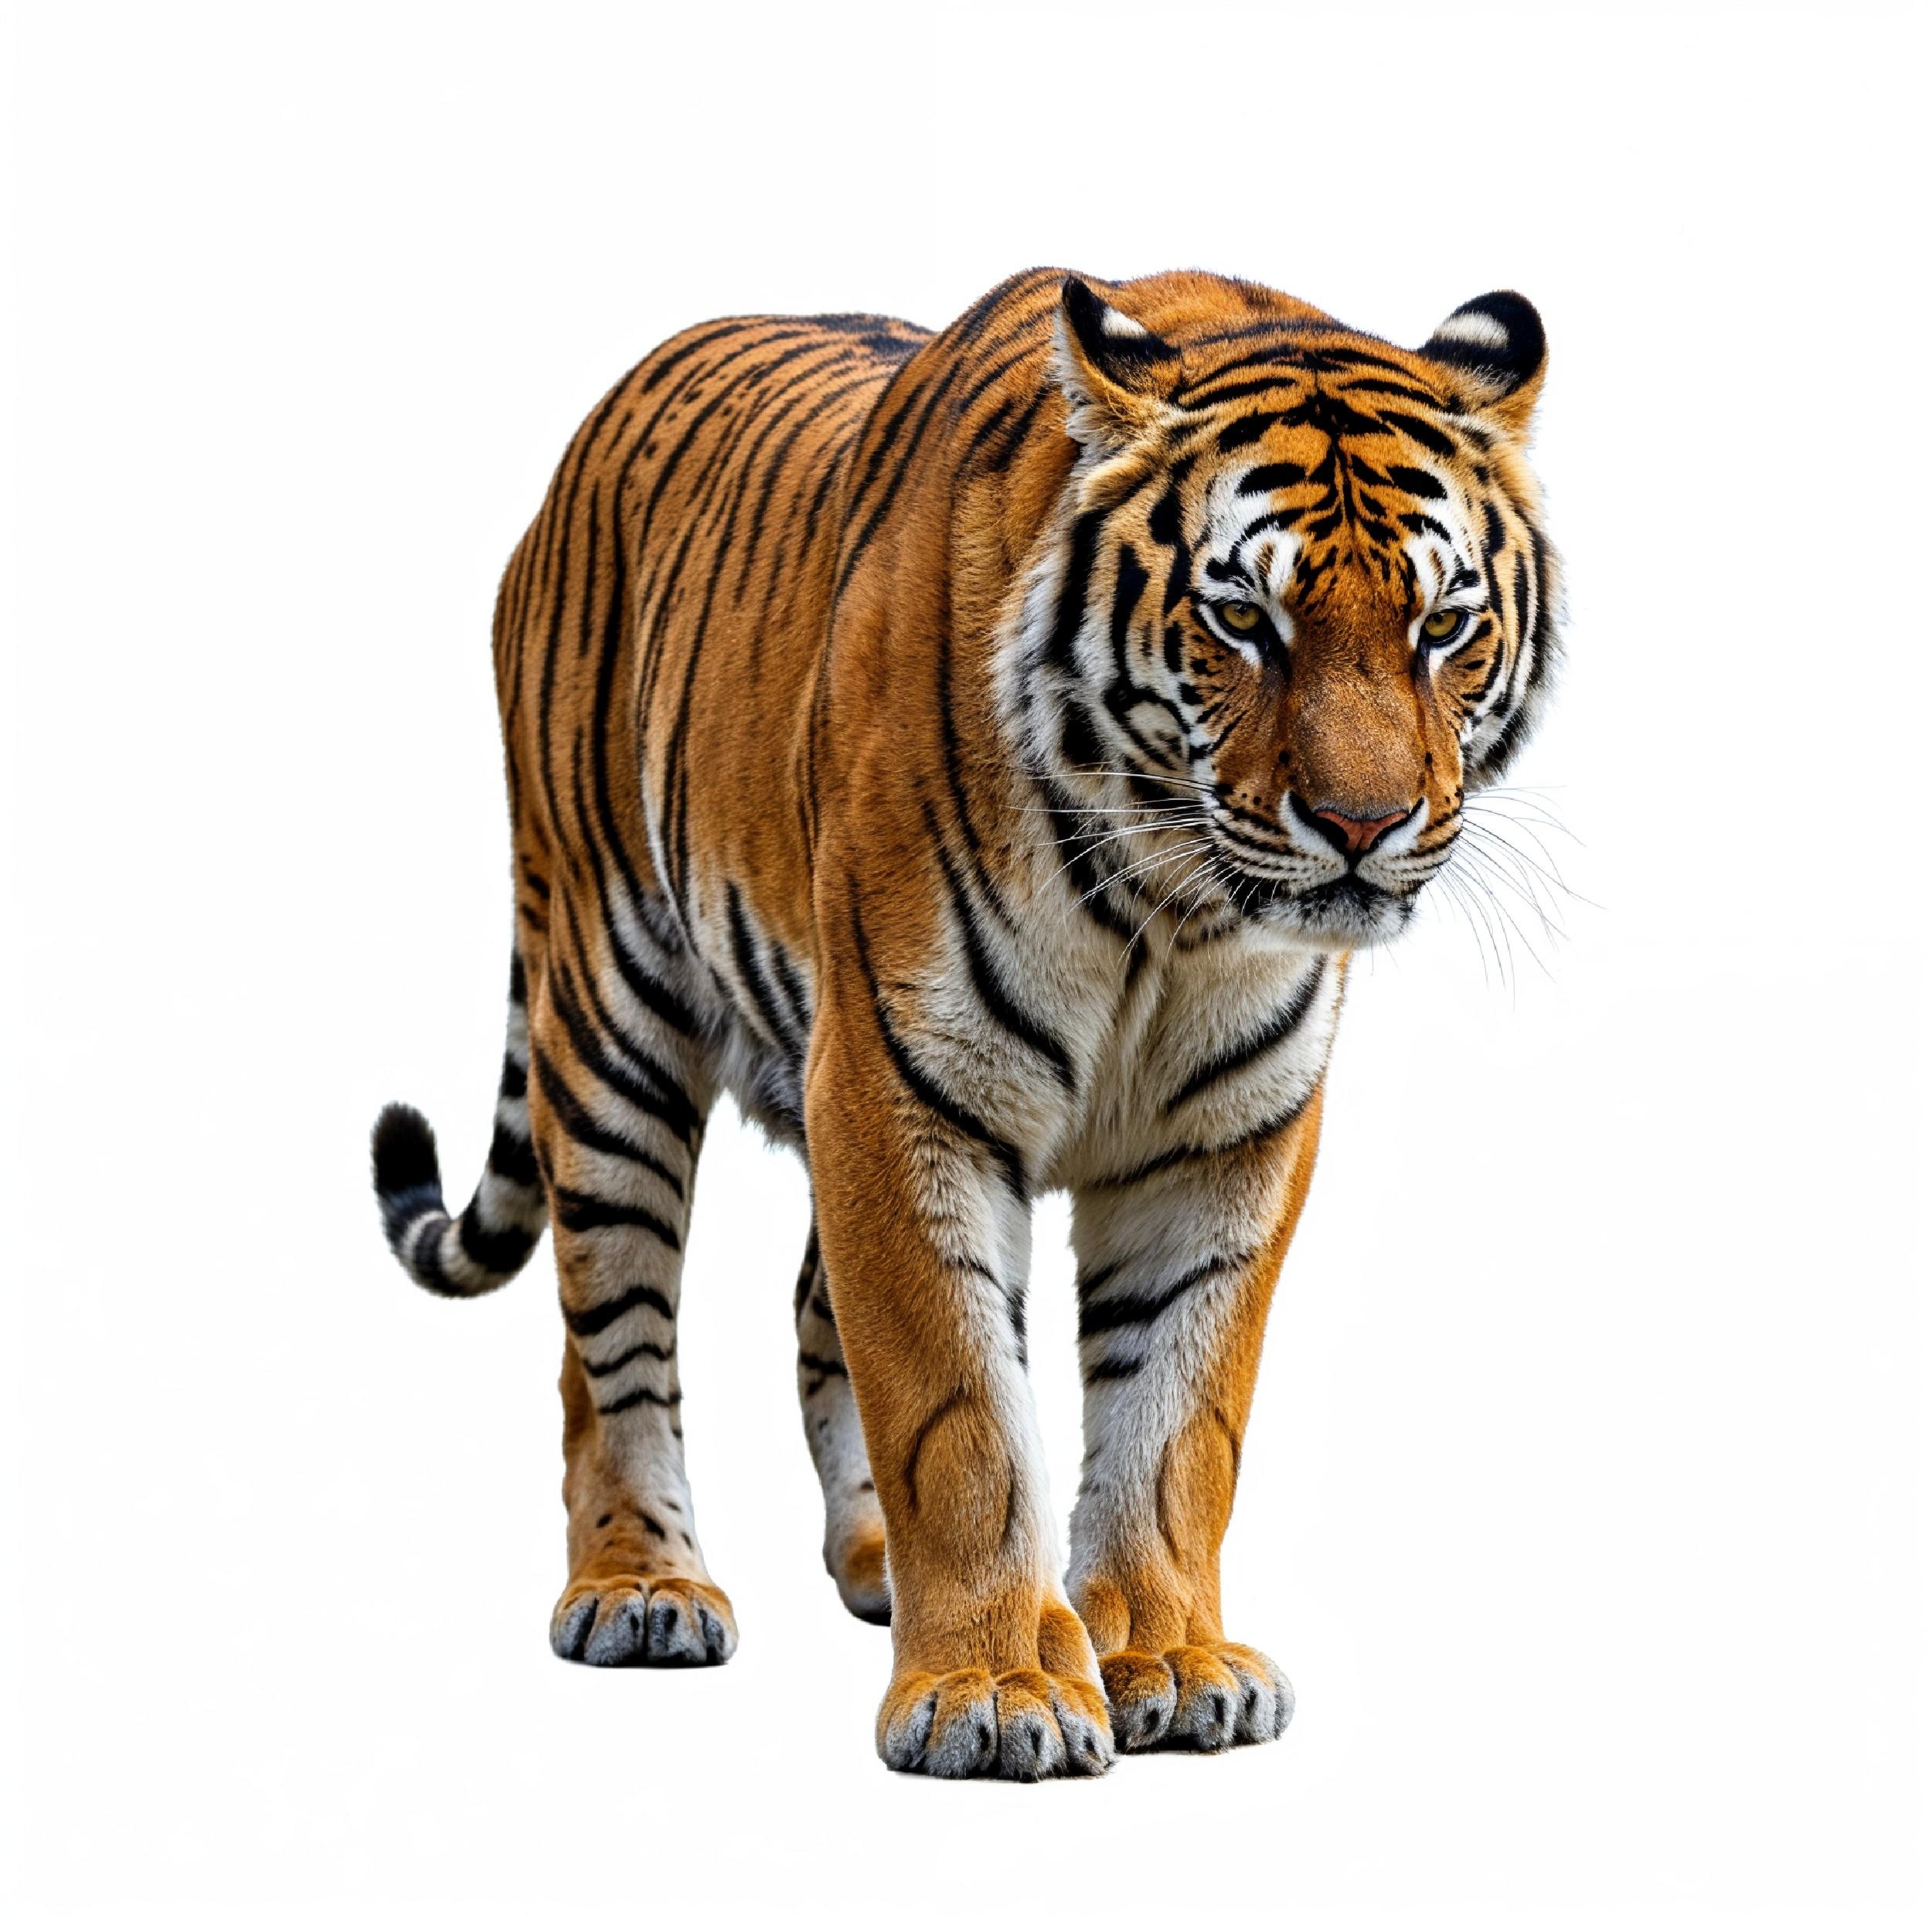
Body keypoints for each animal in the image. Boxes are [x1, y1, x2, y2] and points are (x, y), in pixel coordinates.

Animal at [371, 266, 1557, 1780]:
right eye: (1244, 621)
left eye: (1443, 625)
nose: (1365, 826)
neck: (1170, 914)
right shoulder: (900, 1078)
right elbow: (955, 1398)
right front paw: (994, 1690)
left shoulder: (1230, 1132)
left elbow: (1178, 1418)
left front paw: (1168, 1655)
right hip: (606, 1004)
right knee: (610, 1332)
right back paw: (641, 1587)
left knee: (811, 1303)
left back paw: (875, 1560)